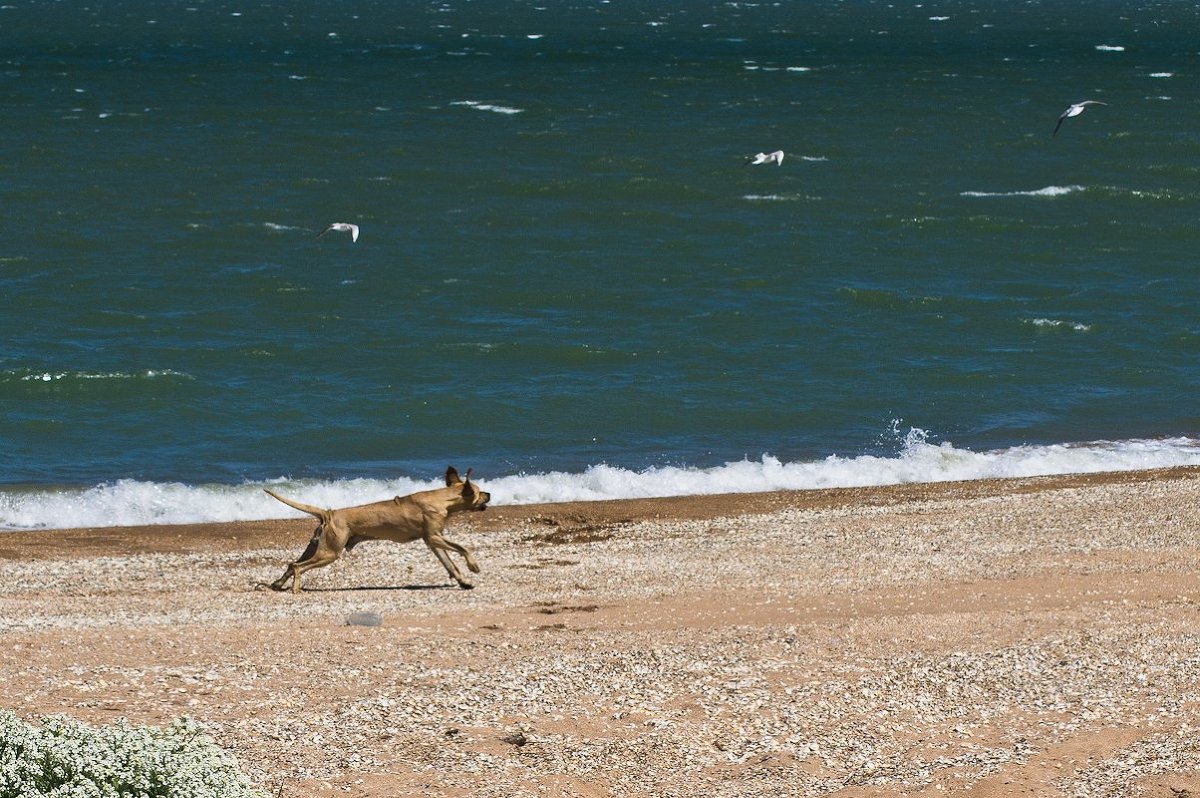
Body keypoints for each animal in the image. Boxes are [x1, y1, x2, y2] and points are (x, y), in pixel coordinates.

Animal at [262, 468, 487, 590]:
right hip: (329, 553)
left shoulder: (432, 540)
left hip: (317, 546)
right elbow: (463, 548)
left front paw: (463, 580)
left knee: (292, 564)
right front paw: (473, 566)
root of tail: (329, 513)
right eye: (478, 492)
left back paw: (277, 584)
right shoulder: (433, 537)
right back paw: (295, 589)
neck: (442, 499)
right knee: (298, 567)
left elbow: (450, 564)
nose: (490, 494)